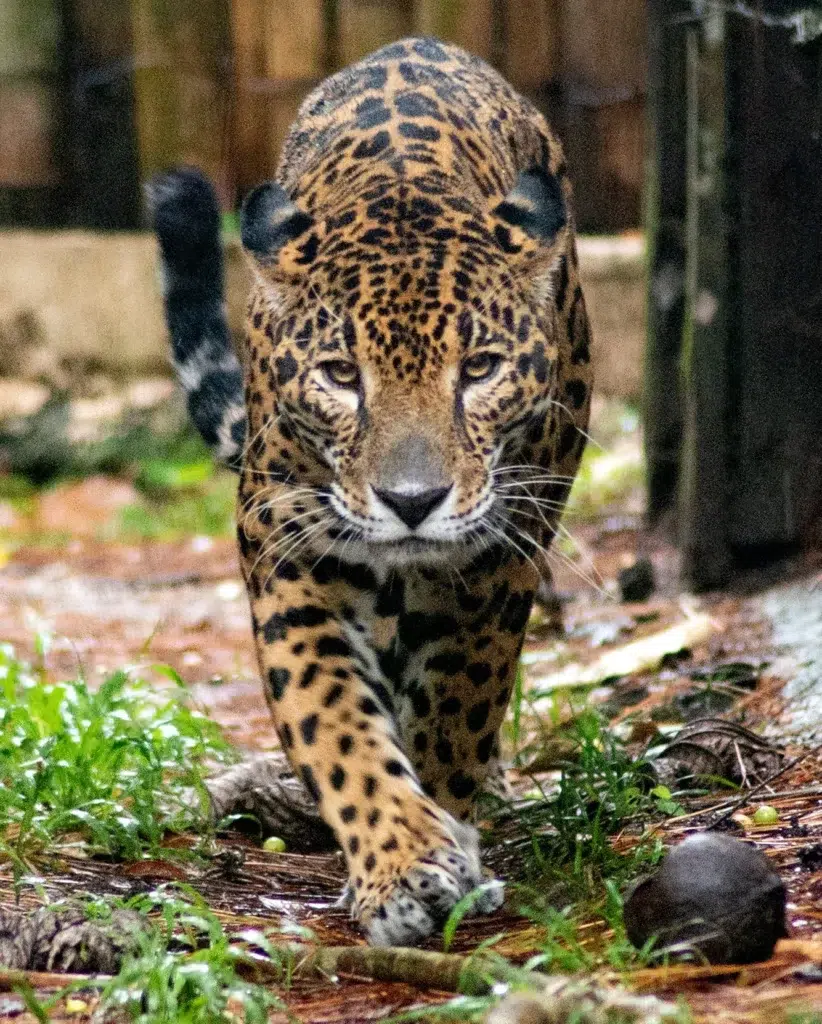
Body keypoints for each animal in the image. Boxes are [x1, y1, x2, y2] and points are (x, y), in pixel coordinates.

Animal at [149, 36, 592, 946]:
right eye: (341, 376)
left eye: (480, 369)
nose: (413, 501)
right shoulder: (291, 555)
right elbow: (333, 716)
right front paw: (400, 862)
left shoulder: (496, 562)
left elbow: (459, 705)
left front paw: (447, 837)